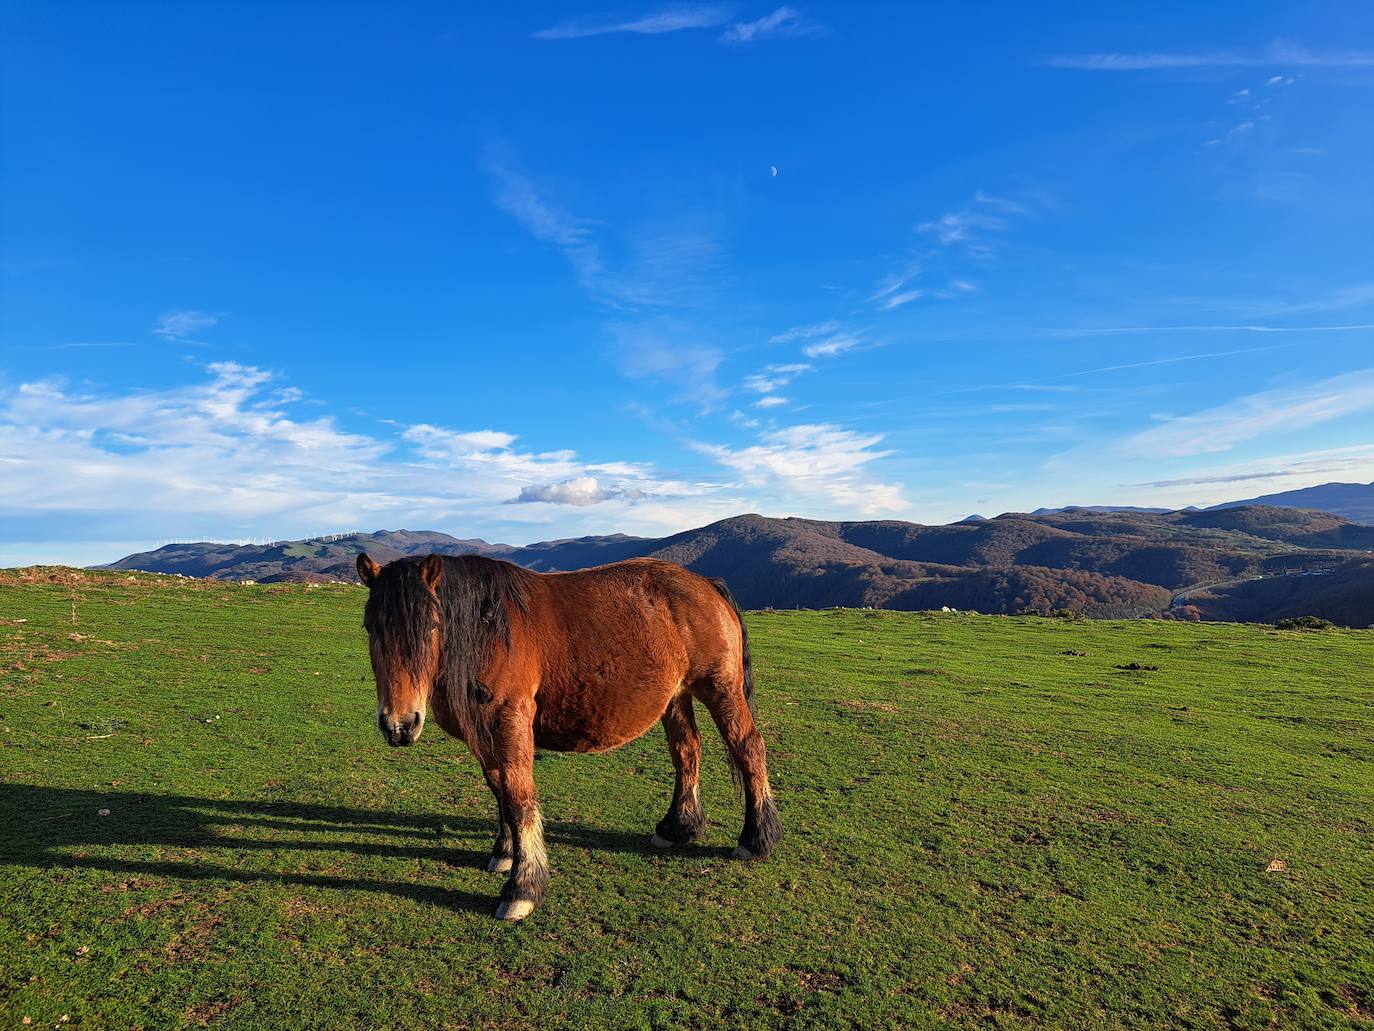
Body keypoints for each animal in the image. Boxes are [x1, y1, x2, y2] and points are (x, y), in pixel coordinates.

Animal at [354, 552, 785, 923]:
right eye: (371, 627)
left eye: (431, 625)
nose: (399, 725)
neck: (489, 630)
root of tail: (706, 585)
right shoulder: (484, 732)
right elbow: (499, 791)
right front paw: (505, 854)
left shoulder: (510, 722)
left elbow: (519, 798)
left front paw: (522, 889)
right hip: (676, 696)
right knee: (686, 751)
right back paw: (677, 828)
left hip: (720, 689)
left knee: (748, 749)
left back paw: (755, 839)